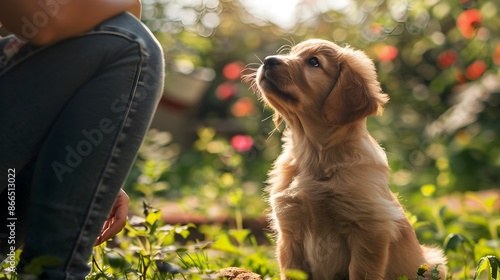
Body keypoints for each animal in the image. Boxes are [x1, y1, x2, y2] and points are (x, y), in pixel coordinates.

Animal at [244, 38, 448, 278]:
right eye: (291, 53)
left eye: (314, 62)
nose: (268, 60)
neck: (315, 155)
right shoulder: (289, 232)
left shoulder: (369, 230)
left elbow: (360, 272)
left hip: (433, 263)